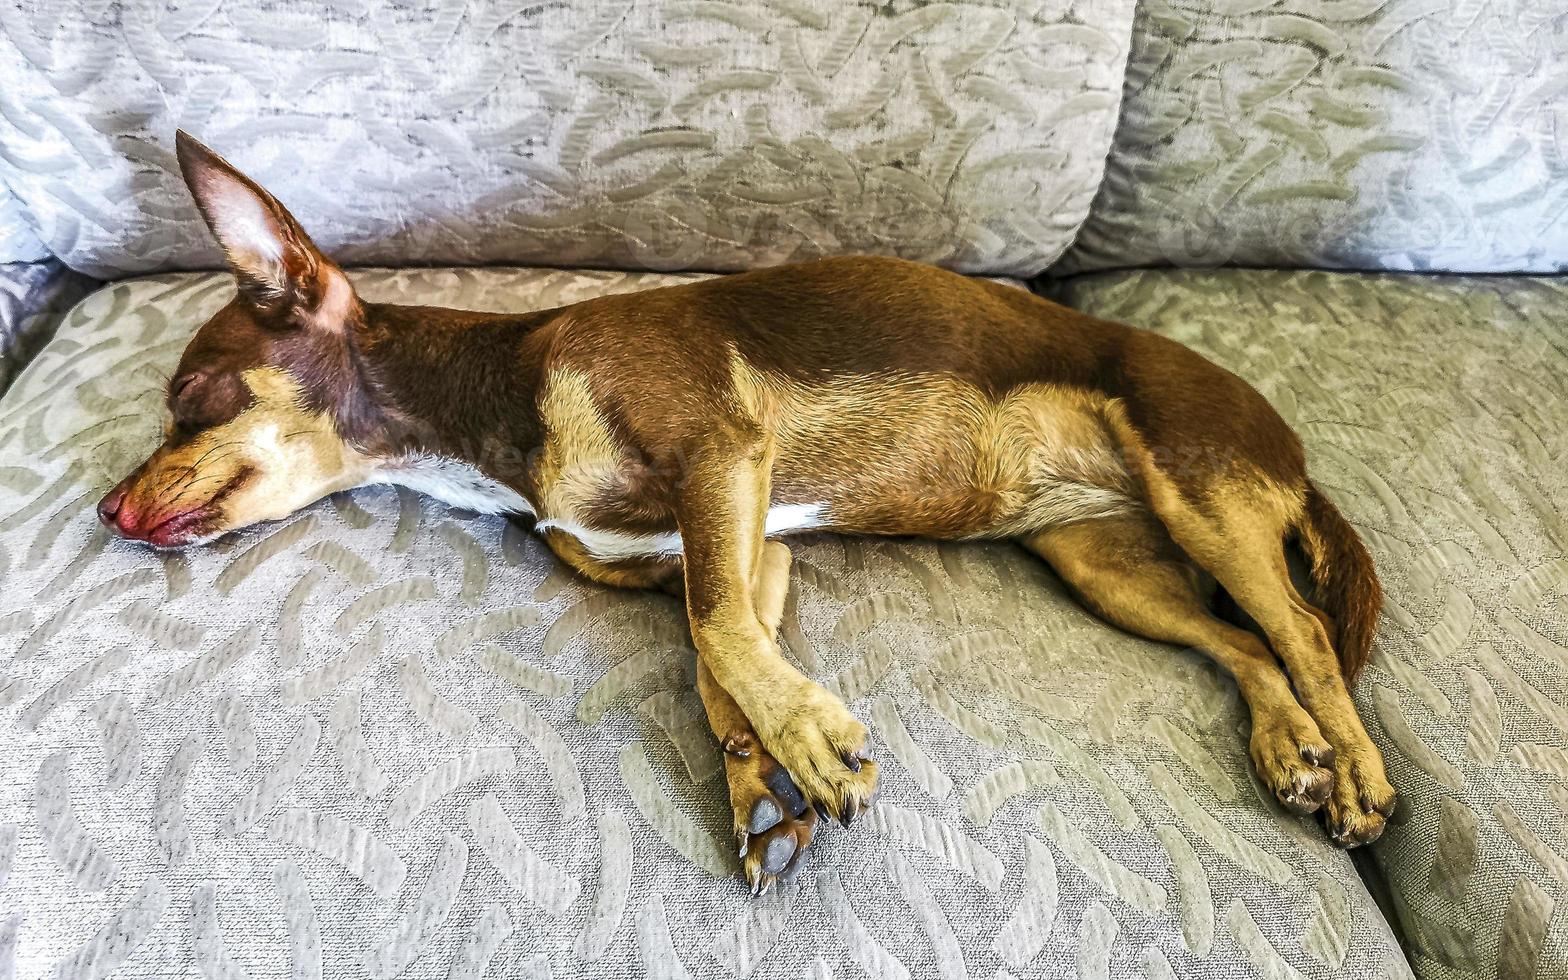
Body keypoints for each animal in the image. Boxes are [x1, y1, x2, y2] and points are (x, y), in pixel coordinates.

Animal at [101, 131, 1398, 896]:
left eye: (186, 399)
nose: (107, 506)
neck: (499, 403)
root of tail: (1286, 445)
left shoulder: (724, 459)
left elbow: (720, 636)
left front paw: (808, 744)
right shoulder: (739, 542)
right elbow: (716, 651)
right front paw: (762, 781)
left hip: (1198, 484)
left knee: (1304, 631)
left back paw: (1354, 766)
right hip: (1104, 564)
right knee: (1241, 640)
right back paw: (1290, 746)